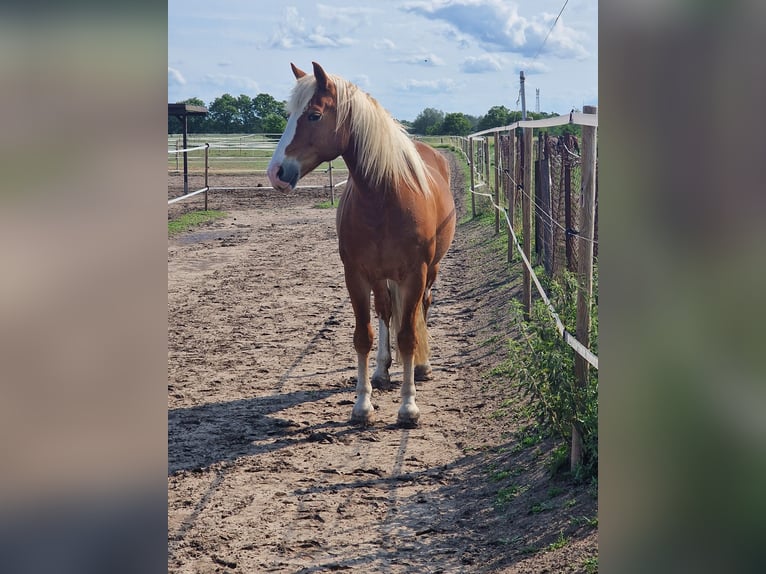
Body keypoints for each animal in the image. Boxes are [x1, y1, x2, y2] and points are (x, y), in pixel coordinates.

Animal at [267, 62, 456, 428]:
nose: (276, 173)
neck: (384, 198)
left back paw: (422, 367)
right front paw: (362, 404)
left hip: (431, 270)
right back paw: (382, 371)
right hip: (381, 277)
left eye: (313, 115)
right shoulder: (356, 275)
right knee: (385, 311)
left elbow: (408, 336)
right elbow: (363, 336)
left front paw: (408, 407)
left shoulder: (415, 274)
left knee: (421, 308)